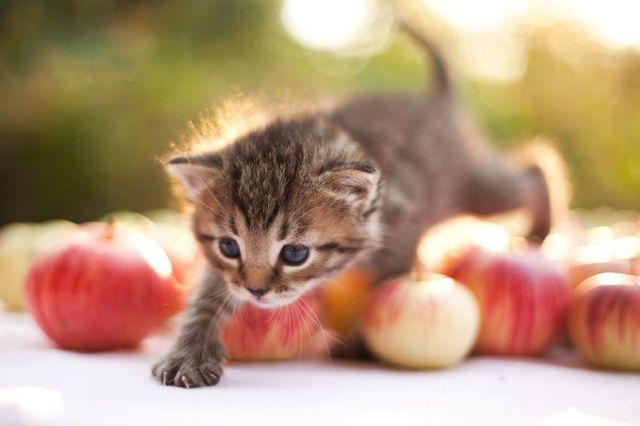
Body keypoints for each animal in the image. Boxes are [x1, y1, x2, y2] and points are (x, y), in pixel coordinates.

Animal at [150, 25, 556, 388]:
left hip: (476, 191)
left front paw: (361, 344)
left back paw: (541, 228)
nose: (256, 292)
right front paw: (188, 353)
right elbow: (207, 296)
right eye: (229, 247)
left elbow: (382, 288)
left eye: (295, 253)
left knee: (533, 168)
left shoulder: (402, 237)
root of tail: (437, 101)